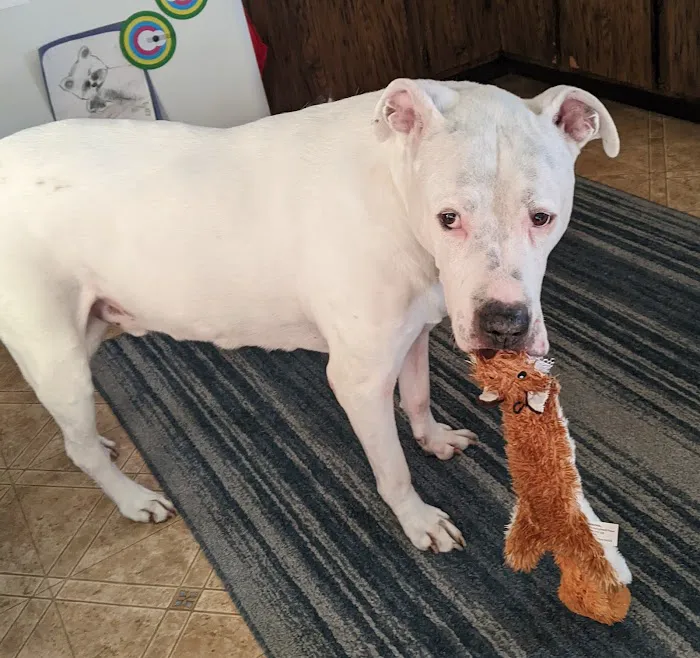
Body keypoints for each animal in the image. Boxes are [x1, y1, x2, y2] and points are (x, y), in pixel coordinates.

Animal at [0, 79, 618, 553]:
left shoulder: (412, 333)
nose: (504, 324)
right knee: (76, 444)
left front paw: (433, 439)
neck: (393, 198)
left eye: (542, 217)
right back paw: (132, 498)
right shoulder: (359, 380)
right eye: (448, 218)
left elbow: (418, 397)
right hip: (55, 354)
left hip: (88, 327)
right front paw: (418, 520)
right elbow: (393, 468)